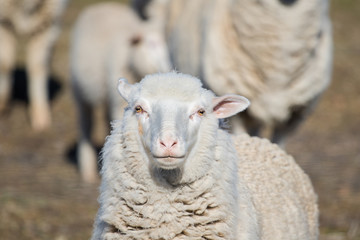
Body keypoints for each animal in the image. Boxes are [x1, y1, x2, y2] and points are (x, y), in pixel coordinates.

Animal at [0, 0, 68, 130]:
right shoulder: (4, 23)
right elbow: (4, 64)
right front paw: (2, 106)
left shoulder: (48, 24)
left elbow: (37, 67)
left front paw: (41, 120)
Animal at [70, 1, 172, 183]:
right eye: (151, 44)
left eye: (167, 43)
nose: (167, 67)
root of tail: (101, 5)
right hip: (80, 92)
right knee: (85, 125)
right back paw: (87, 171)